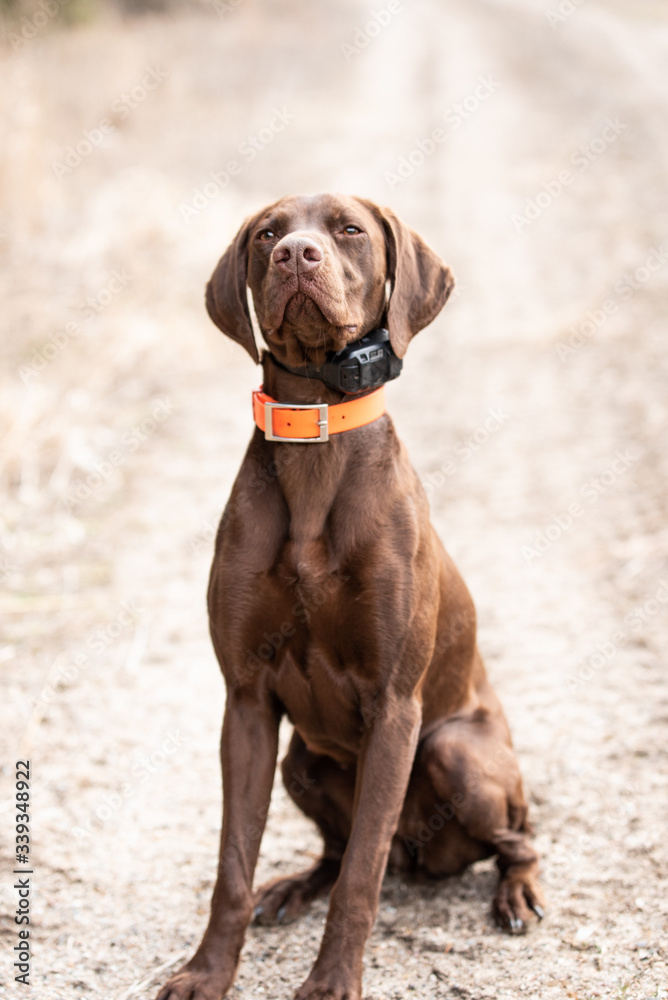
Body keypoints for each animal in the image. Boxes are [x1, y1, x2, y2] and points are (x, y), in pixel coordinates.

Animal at [157, 193, 544, 1000]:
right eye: (268, 233)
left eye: (348, 229)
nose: (295, 255)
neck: (316, 432)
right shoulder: (245, 701)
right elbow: (233, 867)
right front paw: (207, 972)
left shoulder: (395, 708)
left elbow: (362, 878)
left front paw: (332, 981)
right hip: (300, 761)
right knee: (337, 853)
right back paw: (292, 886)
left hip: (457, 753)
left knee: (514, 840)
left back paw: (516, 893)